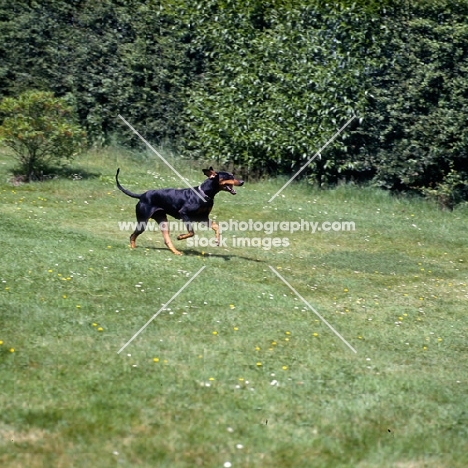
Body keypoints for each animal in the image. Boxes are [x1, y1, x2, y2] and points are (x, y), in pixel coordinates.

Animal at [115, 167, 243, 256]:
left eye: (233, 175)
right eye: (228, 176)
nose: (242, 182)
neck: (204, 194)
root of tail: (141, 195)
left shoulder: (203, 218)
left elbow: (216, 226)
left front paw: (217, 240)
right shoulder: (184, 214)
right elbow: (191, 232)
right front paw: (180, 237)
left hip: (162, 220)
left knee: (166, 239)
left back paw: (176, 252)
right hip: (143, 221)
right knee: (132, 235)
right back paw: (133, 248)